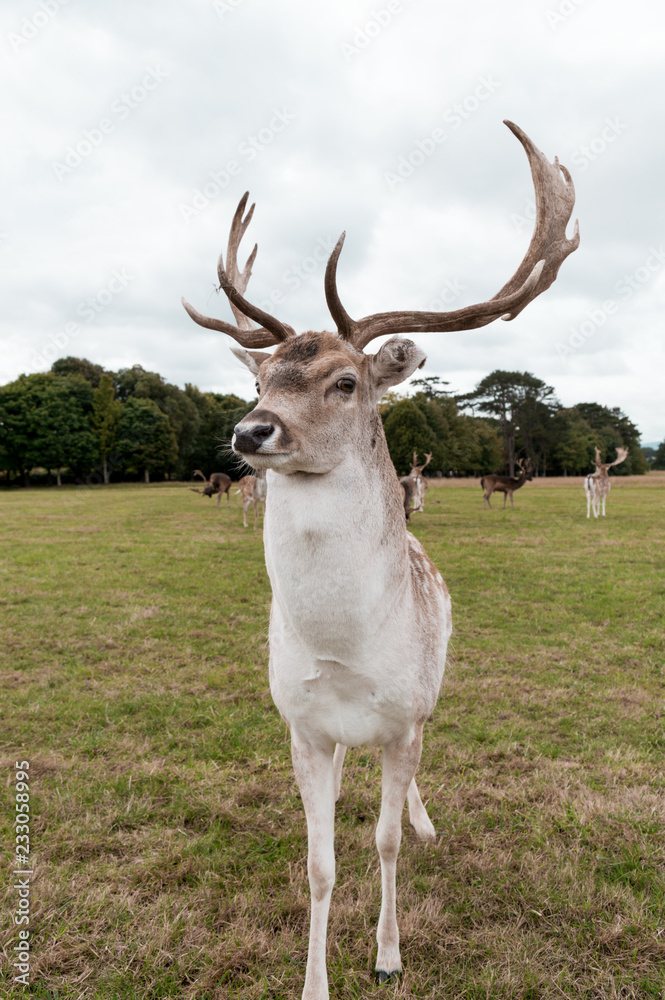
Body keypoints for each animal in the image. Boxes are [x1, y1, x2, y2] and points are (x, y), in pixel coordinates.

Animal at [181, 120, 579, 997]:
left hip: (428, 694)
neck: (342, 651)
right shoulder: (302, 728)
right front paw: (314, 980)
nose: (249, 432)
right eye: (262, 377)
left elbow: (385, 842)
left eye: (342, 382)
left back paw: (426, 822)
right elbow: (320, 864)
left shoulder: (401, 720)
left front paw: (390, 954)